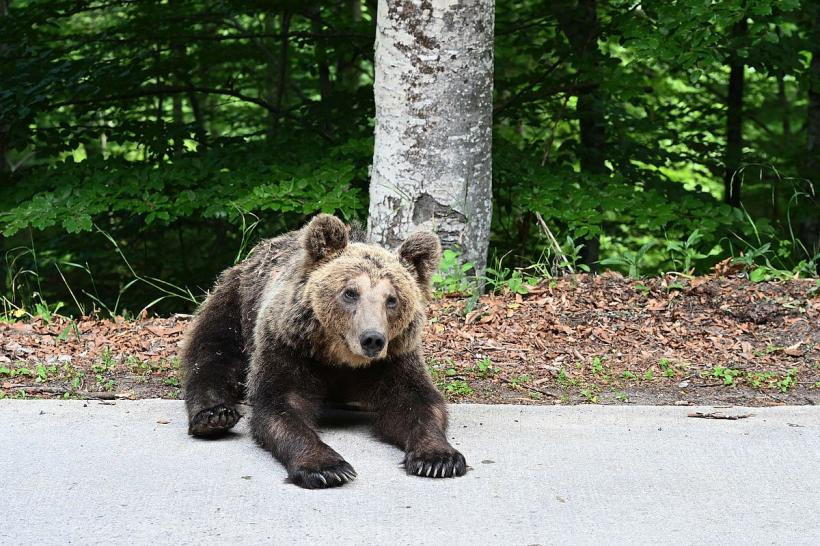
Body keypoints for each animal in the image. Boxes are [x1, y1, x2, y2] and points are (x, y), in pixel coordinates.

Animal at [181, 214, 467, 488]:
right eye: (350, 292)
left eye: (392, 299)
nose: (372, 339)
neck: (341, 358)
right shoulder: (287, 347)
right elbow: (282, 405)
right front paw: (327, 468)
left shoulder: (393, 358)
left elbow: (415, 402)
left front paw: (438, 459)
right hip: (236, 303)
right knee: (213, 351)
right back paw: (214, 415)